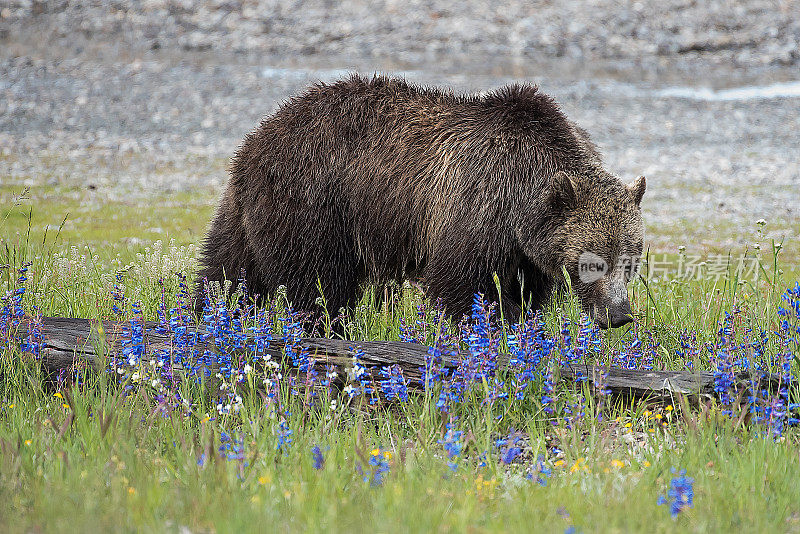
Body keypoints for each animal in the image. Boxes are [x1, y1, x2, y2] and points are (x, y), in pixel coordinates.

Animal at [197, 73, 648, 328]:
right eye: (592, 262)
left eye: (630, 260)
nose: (619, 314)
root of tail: (257, 140)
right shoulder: (476, 207)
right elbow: (463, 288)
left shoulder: (524, 251)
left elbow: (524, 296)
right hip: (313, 203)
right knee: (317, 285)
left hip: (252, 212)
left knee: (228, 270)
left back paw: (210, 317)